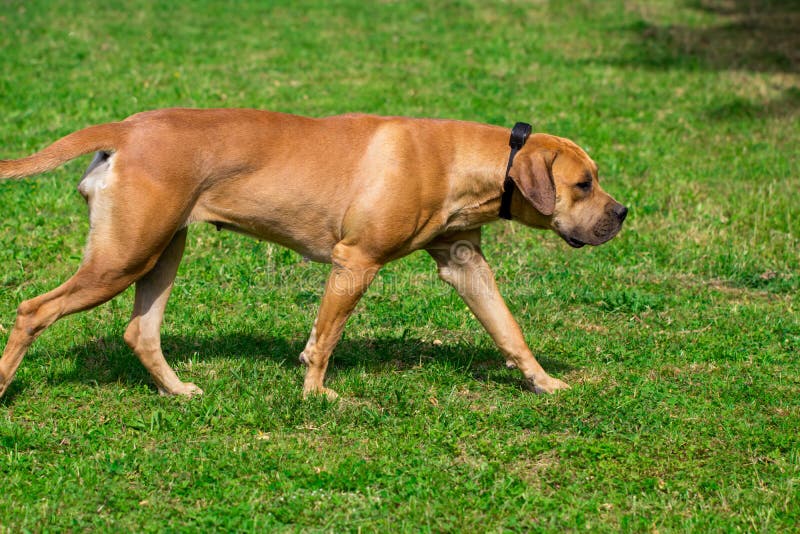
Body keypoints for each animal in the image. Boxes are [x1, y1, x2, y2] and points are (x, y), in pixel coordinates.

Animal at [0, 110, 624, 402]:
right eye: (584, 184)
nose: (622, 213)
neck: (463, 162)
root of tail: (125, 129)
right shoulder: (356, 262)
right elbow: (324, 340)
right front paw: (316, 397)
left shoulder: (464, 264)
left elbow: (510, 331)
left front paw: (546, 384)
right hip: (122, 259)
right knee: (32, 310)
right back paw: (6, 387)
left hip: (160, 251)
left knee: (141, 332)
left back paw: (177, 391)